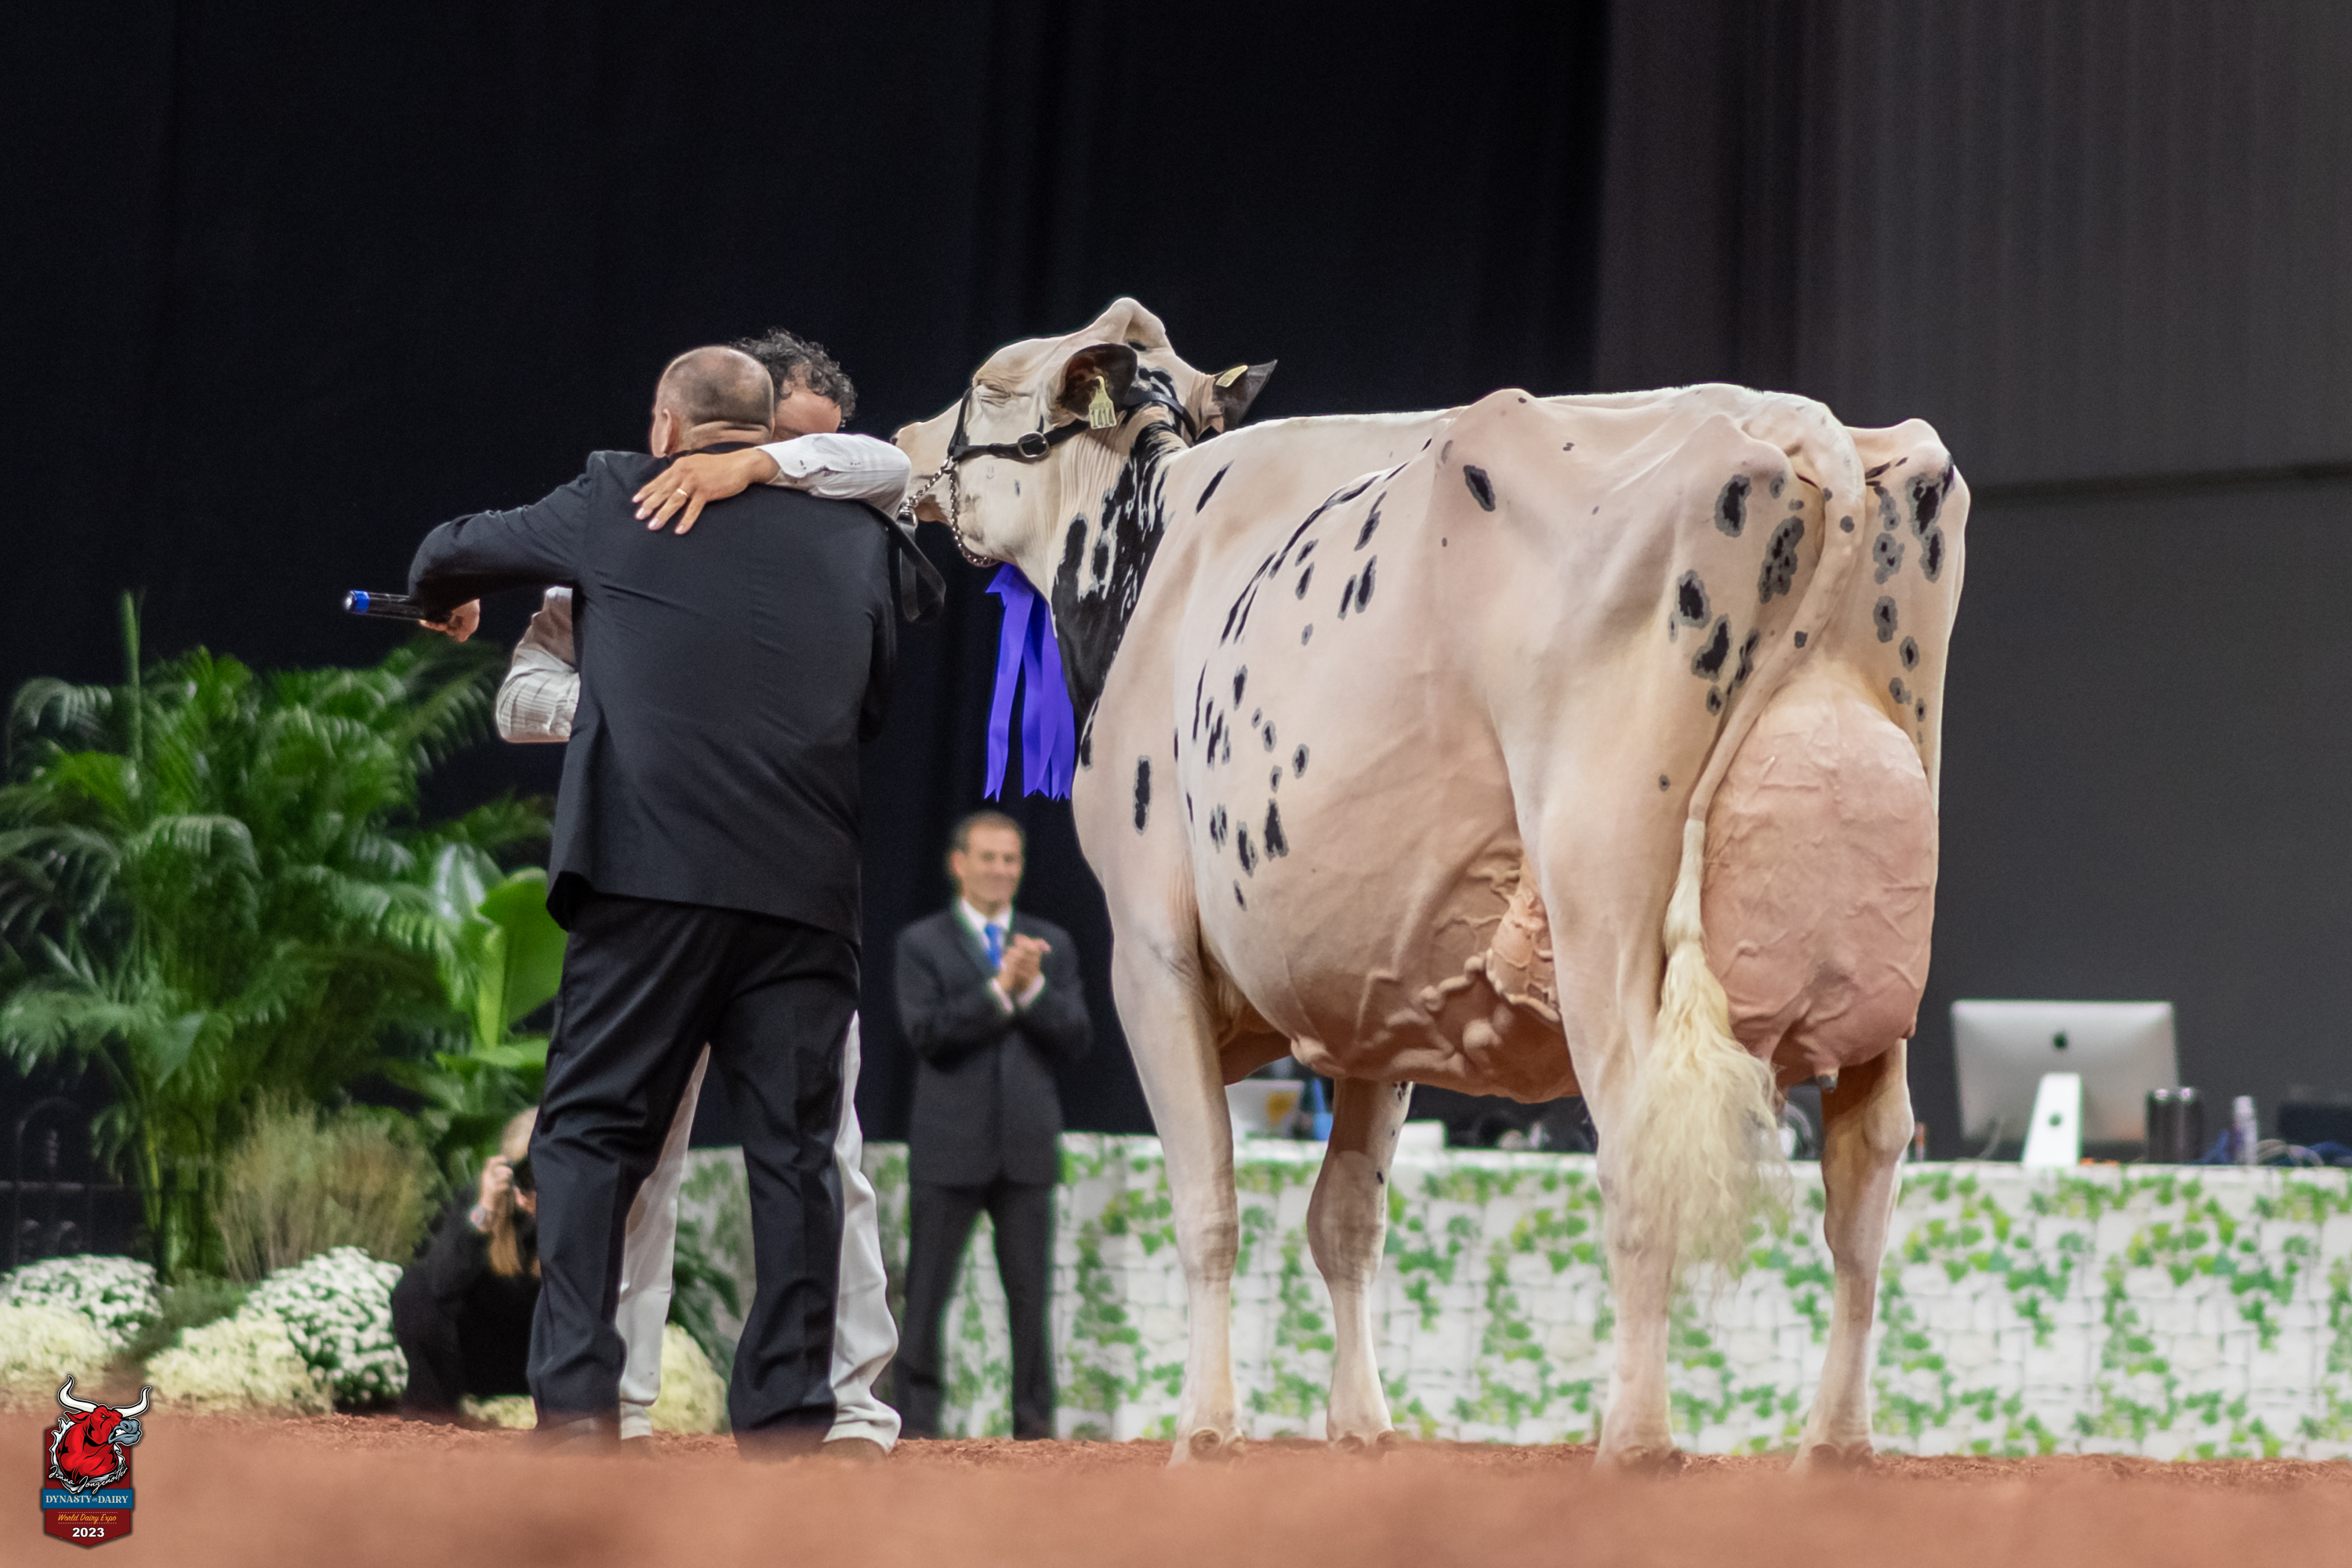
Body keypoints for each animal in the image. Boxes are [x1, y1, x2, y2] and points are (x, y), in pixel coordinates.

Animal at [894, 298, 1963, 1470]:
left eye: (984, 386)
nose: (902, 440)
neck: (1152, 542)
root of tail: (1788, 417)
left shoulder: (1149, 946)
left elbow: (1209, 1200)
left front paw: (1207, 1431)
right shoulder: (1383, 988)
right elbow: (1346, 1216)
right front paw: (1362, 1427)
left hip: (1605, 909)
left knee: (1646, 1148)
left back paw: (1635, 1440)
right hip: (1879, 949)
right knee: (1865, 1175)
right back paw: (1834, 1446)